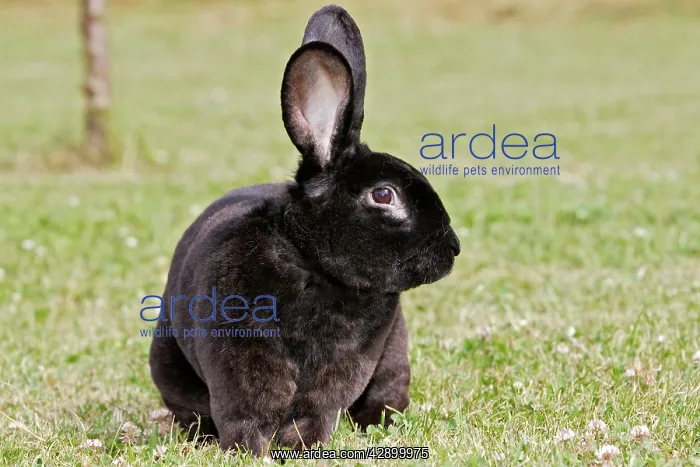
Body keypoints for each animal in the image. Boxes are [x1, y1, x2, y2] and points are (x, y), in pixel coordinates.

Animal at [148, 3, 460, 456]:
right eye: (384, 195)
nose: (453, 248)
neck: (312, 265)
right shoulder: (240, 364)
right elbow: (248, 412)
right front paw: (248, 452)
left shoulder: (342, 372)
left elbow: (315, 411)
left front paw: (302, 449)